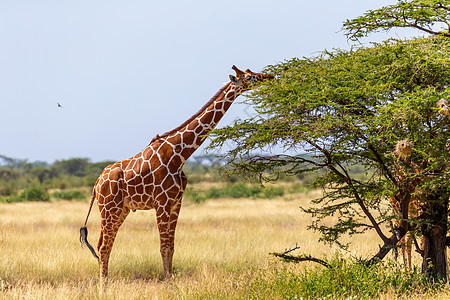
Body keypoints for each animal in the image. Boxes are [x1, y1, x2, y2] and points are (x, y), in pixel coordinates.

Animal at [79, 65, 272, 286]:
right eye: (249, 77)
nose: (269, 76)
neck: (179, 154)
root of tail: (96, 184)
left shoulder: (176, 201)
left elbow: (171, 247)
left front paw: (171, 281)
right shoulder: (161, 202)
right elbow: (163, 247)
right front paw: (168, 284)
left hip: (121, 210)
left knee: (103, 244)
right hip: (109, 209)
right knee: (103, 246)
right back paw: (103, 286)